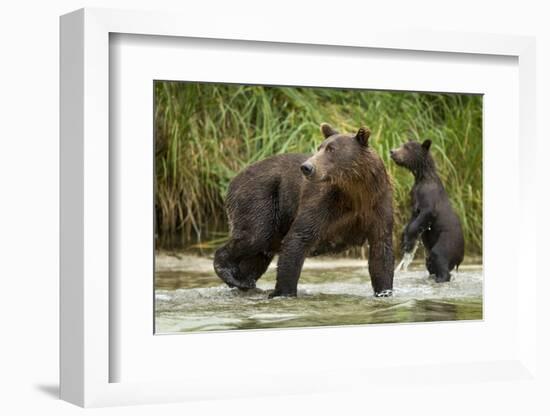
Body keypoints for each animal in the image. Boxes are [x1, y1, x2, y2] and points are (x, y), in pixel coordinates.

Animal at [213, 124, 394, 300]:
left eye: (331, 149)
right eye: (320, 147)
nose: (307, 167)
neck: (356, 192)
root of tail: (235, 178)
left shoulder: (377, 205)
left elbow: (381, 251)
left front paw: (384, 292)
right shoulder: (324, 202)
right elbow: (299, 237)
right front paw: (284, 292)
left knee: (259, 255)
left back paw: (244, 281)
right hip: (260, 197)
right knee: (256, 235)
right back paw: (230, 274)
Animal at [392, 141, 466, 282]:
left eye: (407, 147)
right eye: (402, 145)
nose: (392, 151)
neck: (421, 177)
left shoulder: (428, 194)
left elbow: (427, 213)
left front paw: (409, 242)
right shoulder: (414, 196)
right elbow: (413, 218)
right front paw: (403, 238)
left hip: (448, 240)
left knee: (439, 255)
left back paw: (441, 278)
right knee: (430, 263)